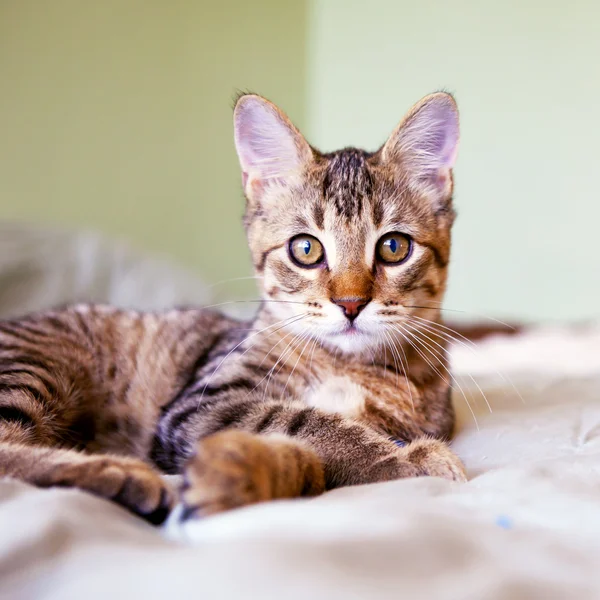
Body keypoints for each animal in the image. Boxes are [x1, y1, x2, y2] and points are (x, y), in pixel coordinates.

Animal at [0, 91, 466, 524]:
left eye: (393, 247)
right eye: (306, 249)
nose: (350, 303)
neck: (351, 365)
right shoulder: (204, 403)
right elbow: (310, 423)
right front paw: (406, 460)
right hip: (35, 366)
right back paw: (119, 474)